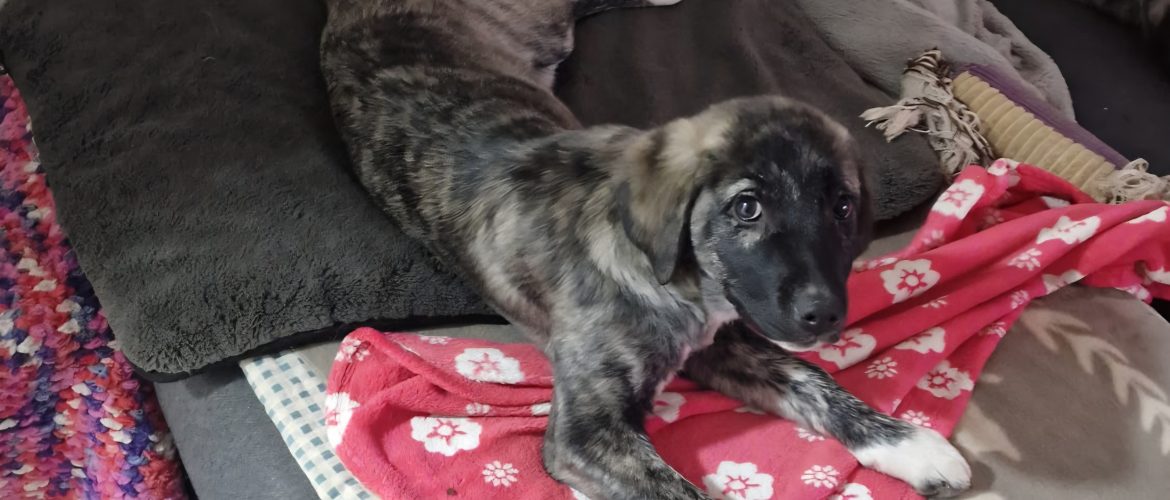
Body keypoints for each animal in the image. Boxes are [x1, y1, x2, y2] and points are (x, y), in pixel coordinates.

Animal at [320, 0, 972, 498]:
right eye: (747, 207)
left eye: (842, 208)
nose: (825, 316)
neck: (671, 279)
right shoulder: (586, 434)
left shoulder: (725, 337)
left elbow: (810, 377)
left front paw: (906, 443)